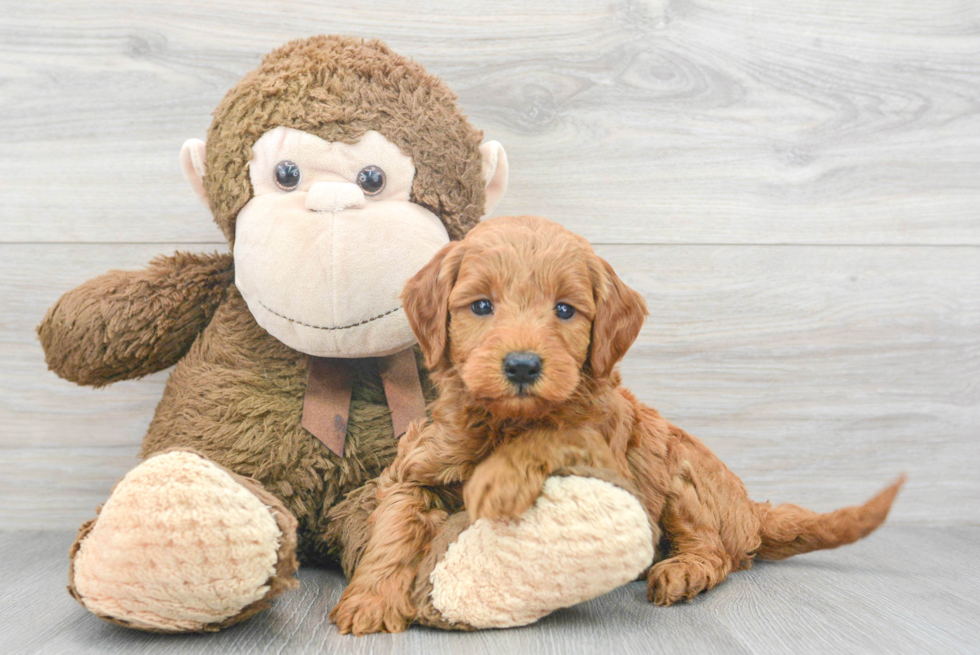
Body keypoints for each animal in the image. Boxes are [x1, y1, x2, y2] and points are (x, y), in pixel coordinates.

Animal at [332, 215, 904, 636]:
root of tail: (750, 510)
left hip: (678, 472)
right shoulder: (416, 468)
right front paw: (370, 600)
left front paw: (499, 480)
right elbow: (393, 527)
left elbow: (555, 436)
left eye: (565, 310)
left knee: (716, 551)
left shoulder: (603, 451)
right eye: (481, 305)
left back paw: (682, 570)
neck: (505, 423)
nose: (522, 366)